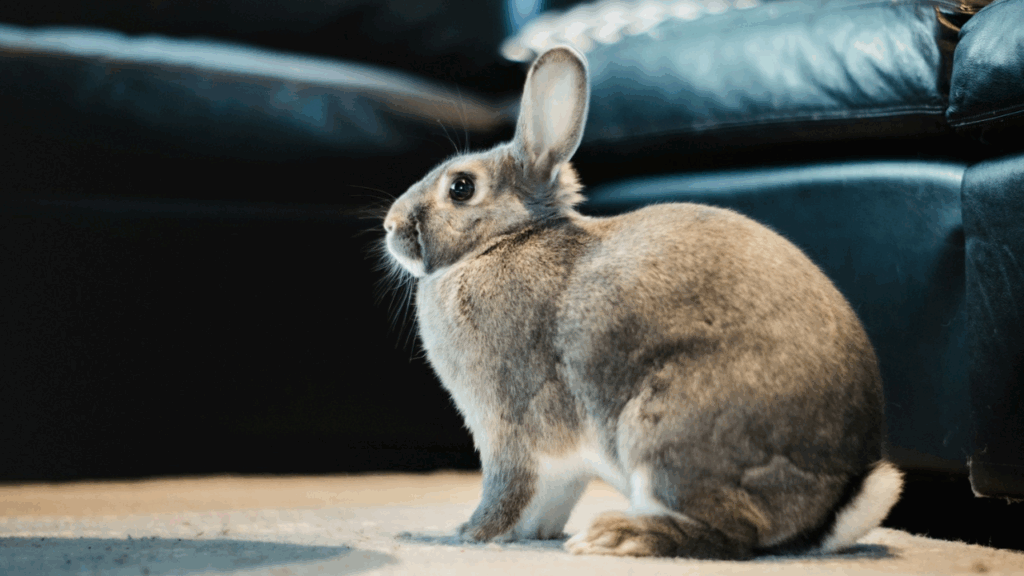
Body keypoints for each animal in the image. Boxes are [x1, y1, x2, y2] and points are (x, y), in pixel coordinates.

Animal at [381, 45, 903, 559]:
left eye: (461, 187)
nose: (390, 224)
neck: (502, 240)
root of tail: (834, 500)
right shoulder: (556, 465)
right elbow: (548, 502)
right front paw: (529, 535)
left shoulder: (510, 429)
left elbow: (507, 491)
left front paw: (470, 534)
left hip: (664, 431)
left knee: (732, 534)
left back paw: (618, 536)